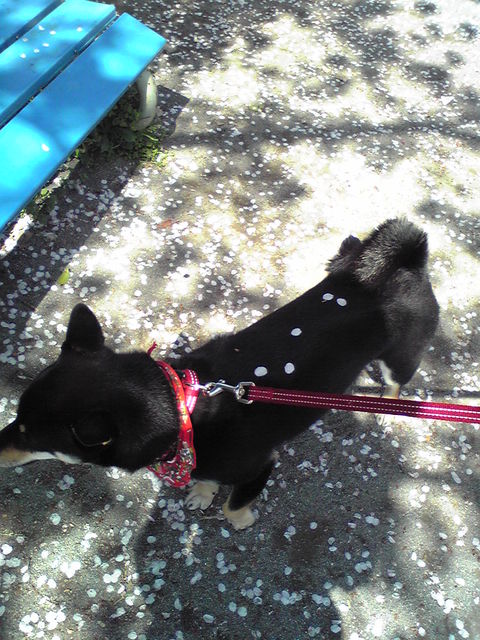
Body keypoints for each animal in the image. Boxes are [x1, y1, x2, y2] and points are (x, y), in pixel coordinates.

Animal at [0, 218, 439, 529]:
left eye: (29, 434)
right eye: (16, 417)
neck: (185, 409)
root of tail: (407, 265)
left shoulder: (259, 467)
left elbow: (233, 506)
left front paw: (241, 518)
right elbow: (208, 481)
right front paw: (204, 490)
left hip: (401, 356)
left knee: (397, 383)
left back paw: (388, 406)